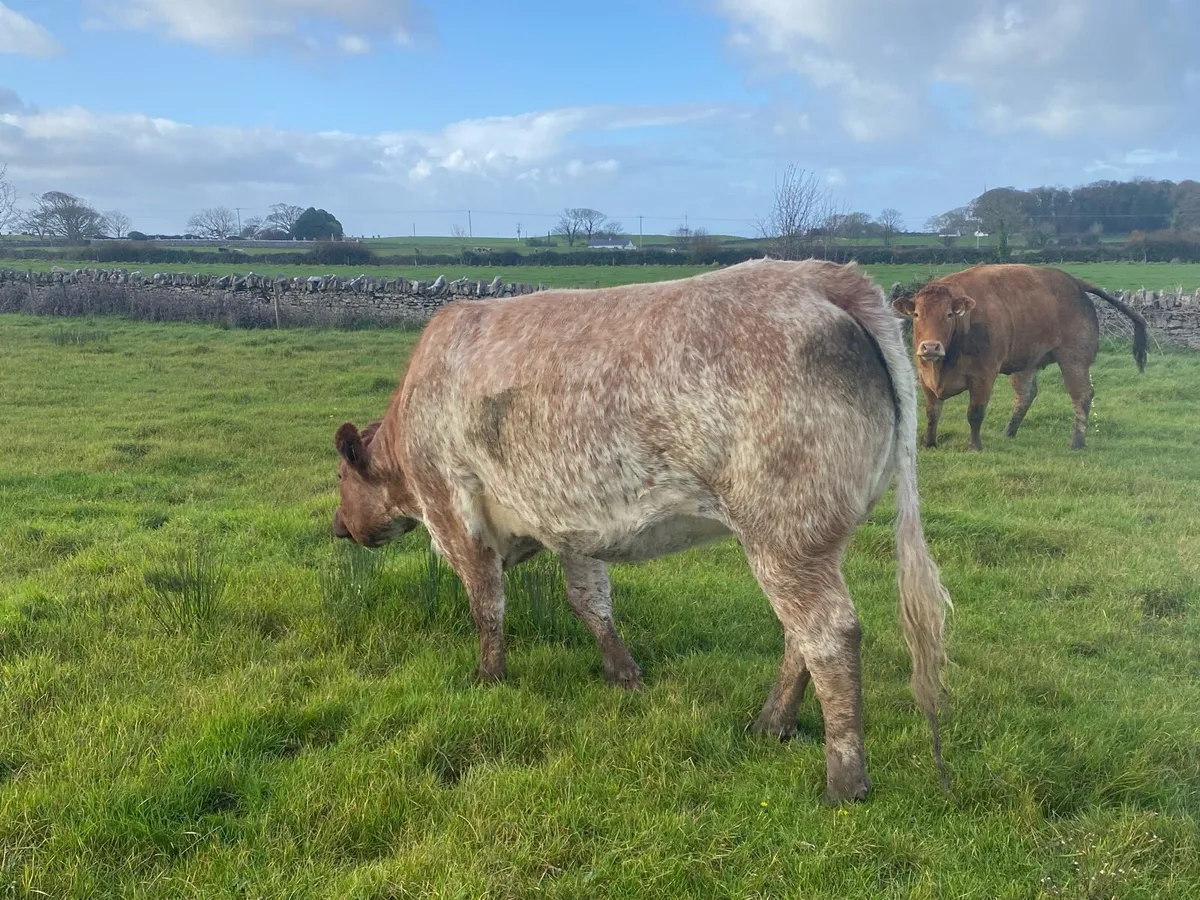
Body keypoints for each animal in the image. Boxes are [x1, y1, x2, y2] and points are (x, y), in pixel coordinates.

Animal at [330, 258, 952, 804]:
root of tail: (825, 276)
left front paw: (489, 679)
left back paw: (844, 780)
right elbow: (589, 602)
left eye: (339, 474)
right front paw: (624, 674)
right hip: (814, 539)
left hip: (785, 531)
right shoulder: (571, 522)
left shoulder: (455, 511)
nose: (337, 527)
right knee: (798, 635)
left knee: (829, 634)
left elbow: (488, 605)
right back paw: (770, 724)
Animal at [890, 264, 1148, 451]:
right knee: (1026, 395)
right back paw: (1009, 432)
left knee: (1081, 396)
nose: (930, 347)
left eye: (949, 314)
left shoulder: (983, 377)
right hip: (1025, 362)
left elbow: (974, 413)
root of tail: (1074, 282)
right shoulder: (924, 376)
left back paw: (1077, 442)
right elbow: (932, 413)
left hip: (1074, 360)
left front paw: (975, 446)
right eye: (916, 314)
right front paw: (929, 442)